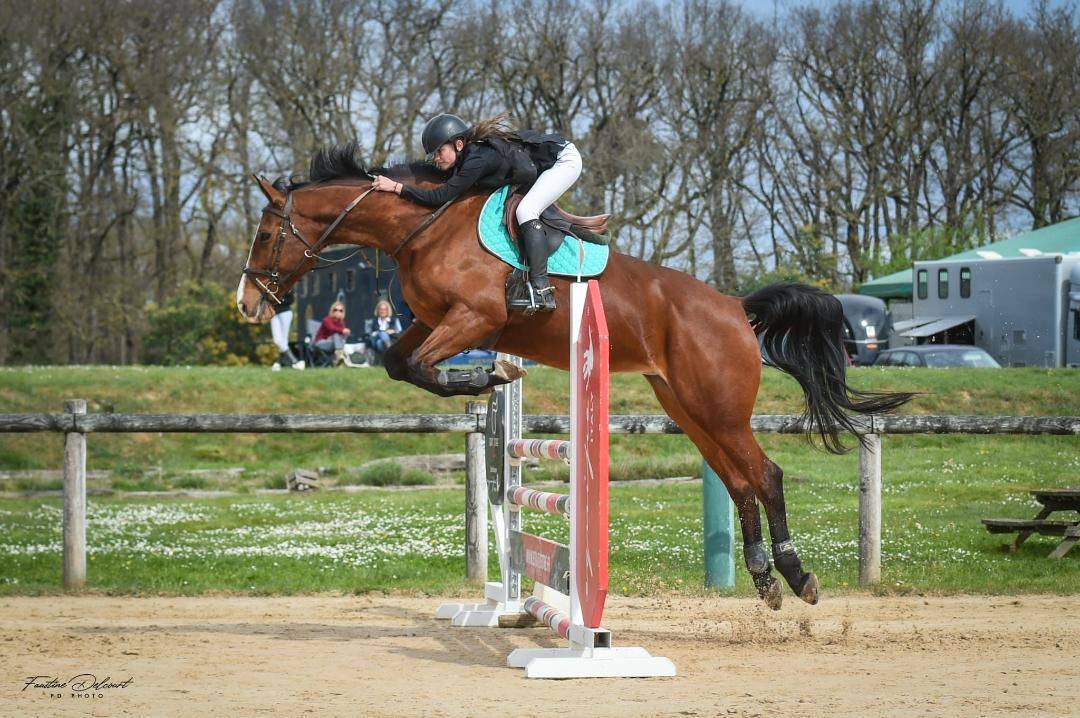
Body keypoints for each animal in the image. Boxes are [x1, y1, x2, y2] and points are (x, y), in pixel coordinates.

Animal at [236, 144, 913, 609]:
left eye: (266, 233)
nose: (246, 305)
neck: (423, 224)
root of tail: (734, 307)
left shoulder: (475, 318)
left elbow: (425, 365)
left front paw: (490, 375)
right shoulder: (435, 320)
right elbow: (402, 364)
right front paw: (485, 381)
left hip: (719, 408)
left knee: (765, 475)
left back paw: (798, 577)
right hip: (688, 407)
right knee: (740, 480)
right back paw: (765, 580)